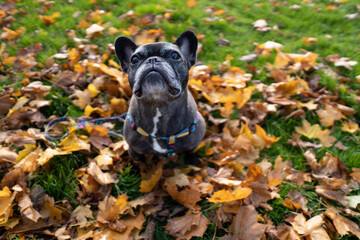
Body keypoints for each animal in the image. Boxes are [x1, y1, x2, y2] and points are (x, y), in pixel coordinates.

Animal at [115, 30, 205, 161]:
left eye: (175, 56)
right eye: (134, 59)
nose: (153, 59)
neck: (158, 104)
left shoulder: (192, 144)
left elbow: (190, 152)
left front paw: (192, 161)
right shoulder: (134, 150)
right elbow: (139, 162)